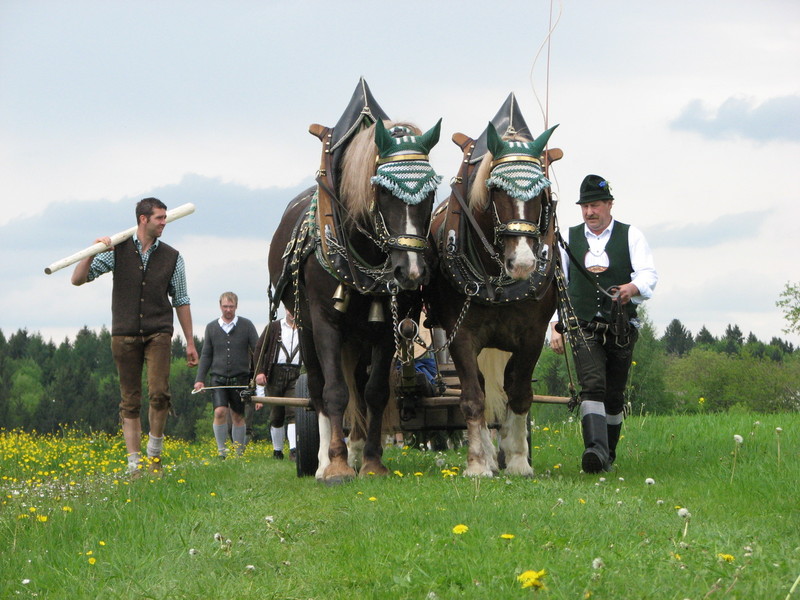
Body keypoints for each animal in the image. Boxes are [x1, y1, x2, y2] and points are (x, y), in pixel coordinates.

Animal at [268, 86, 442, 484]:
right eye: (384, 192)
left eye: (430, 193)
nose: (410, 272)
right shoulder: (324, 321)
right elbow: (334, 391)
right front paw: (336, 465)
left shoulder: (386, 329)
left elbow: (374, 392)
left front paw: (373, 462)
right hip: (305, 328)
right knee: (318, 389)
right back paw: (322, 461)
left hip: (360, 335)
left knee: (360, 389)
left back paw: (359, 447)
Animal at [425, 94, 561, 477]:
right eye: (496, 187)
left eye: (542, 192)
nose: (524, 263)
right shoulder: (461, 336)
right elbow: (473, 398)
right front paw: (477, 464)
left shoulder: (532, 336)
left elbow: (520, 394)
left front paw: (517, 460)